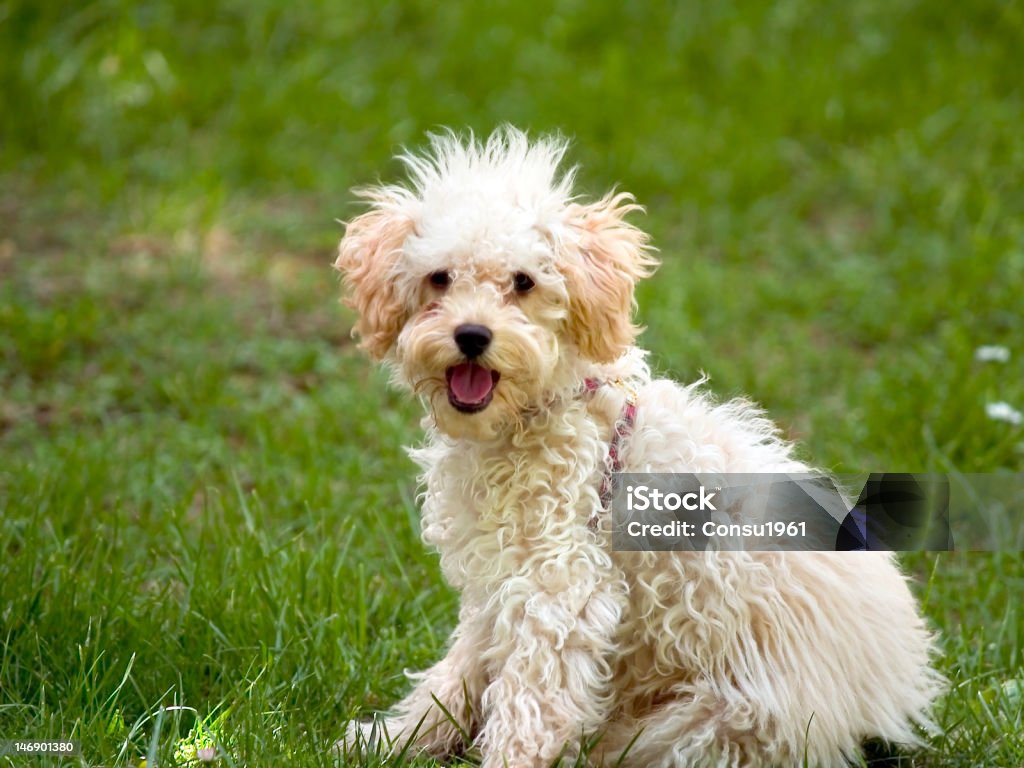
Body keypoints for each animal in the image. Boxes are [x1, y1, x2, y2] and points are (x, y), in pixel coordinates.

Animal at [333, 129, 937, 765]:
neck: (549, 412)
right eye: (440, 277)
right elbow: (462, 671)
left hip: (708, 725)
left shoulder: (562, 587)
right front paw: (395, 739)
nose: (472, 335)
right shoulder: (499, 580)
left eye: (523, 282)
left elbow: (530, 700)